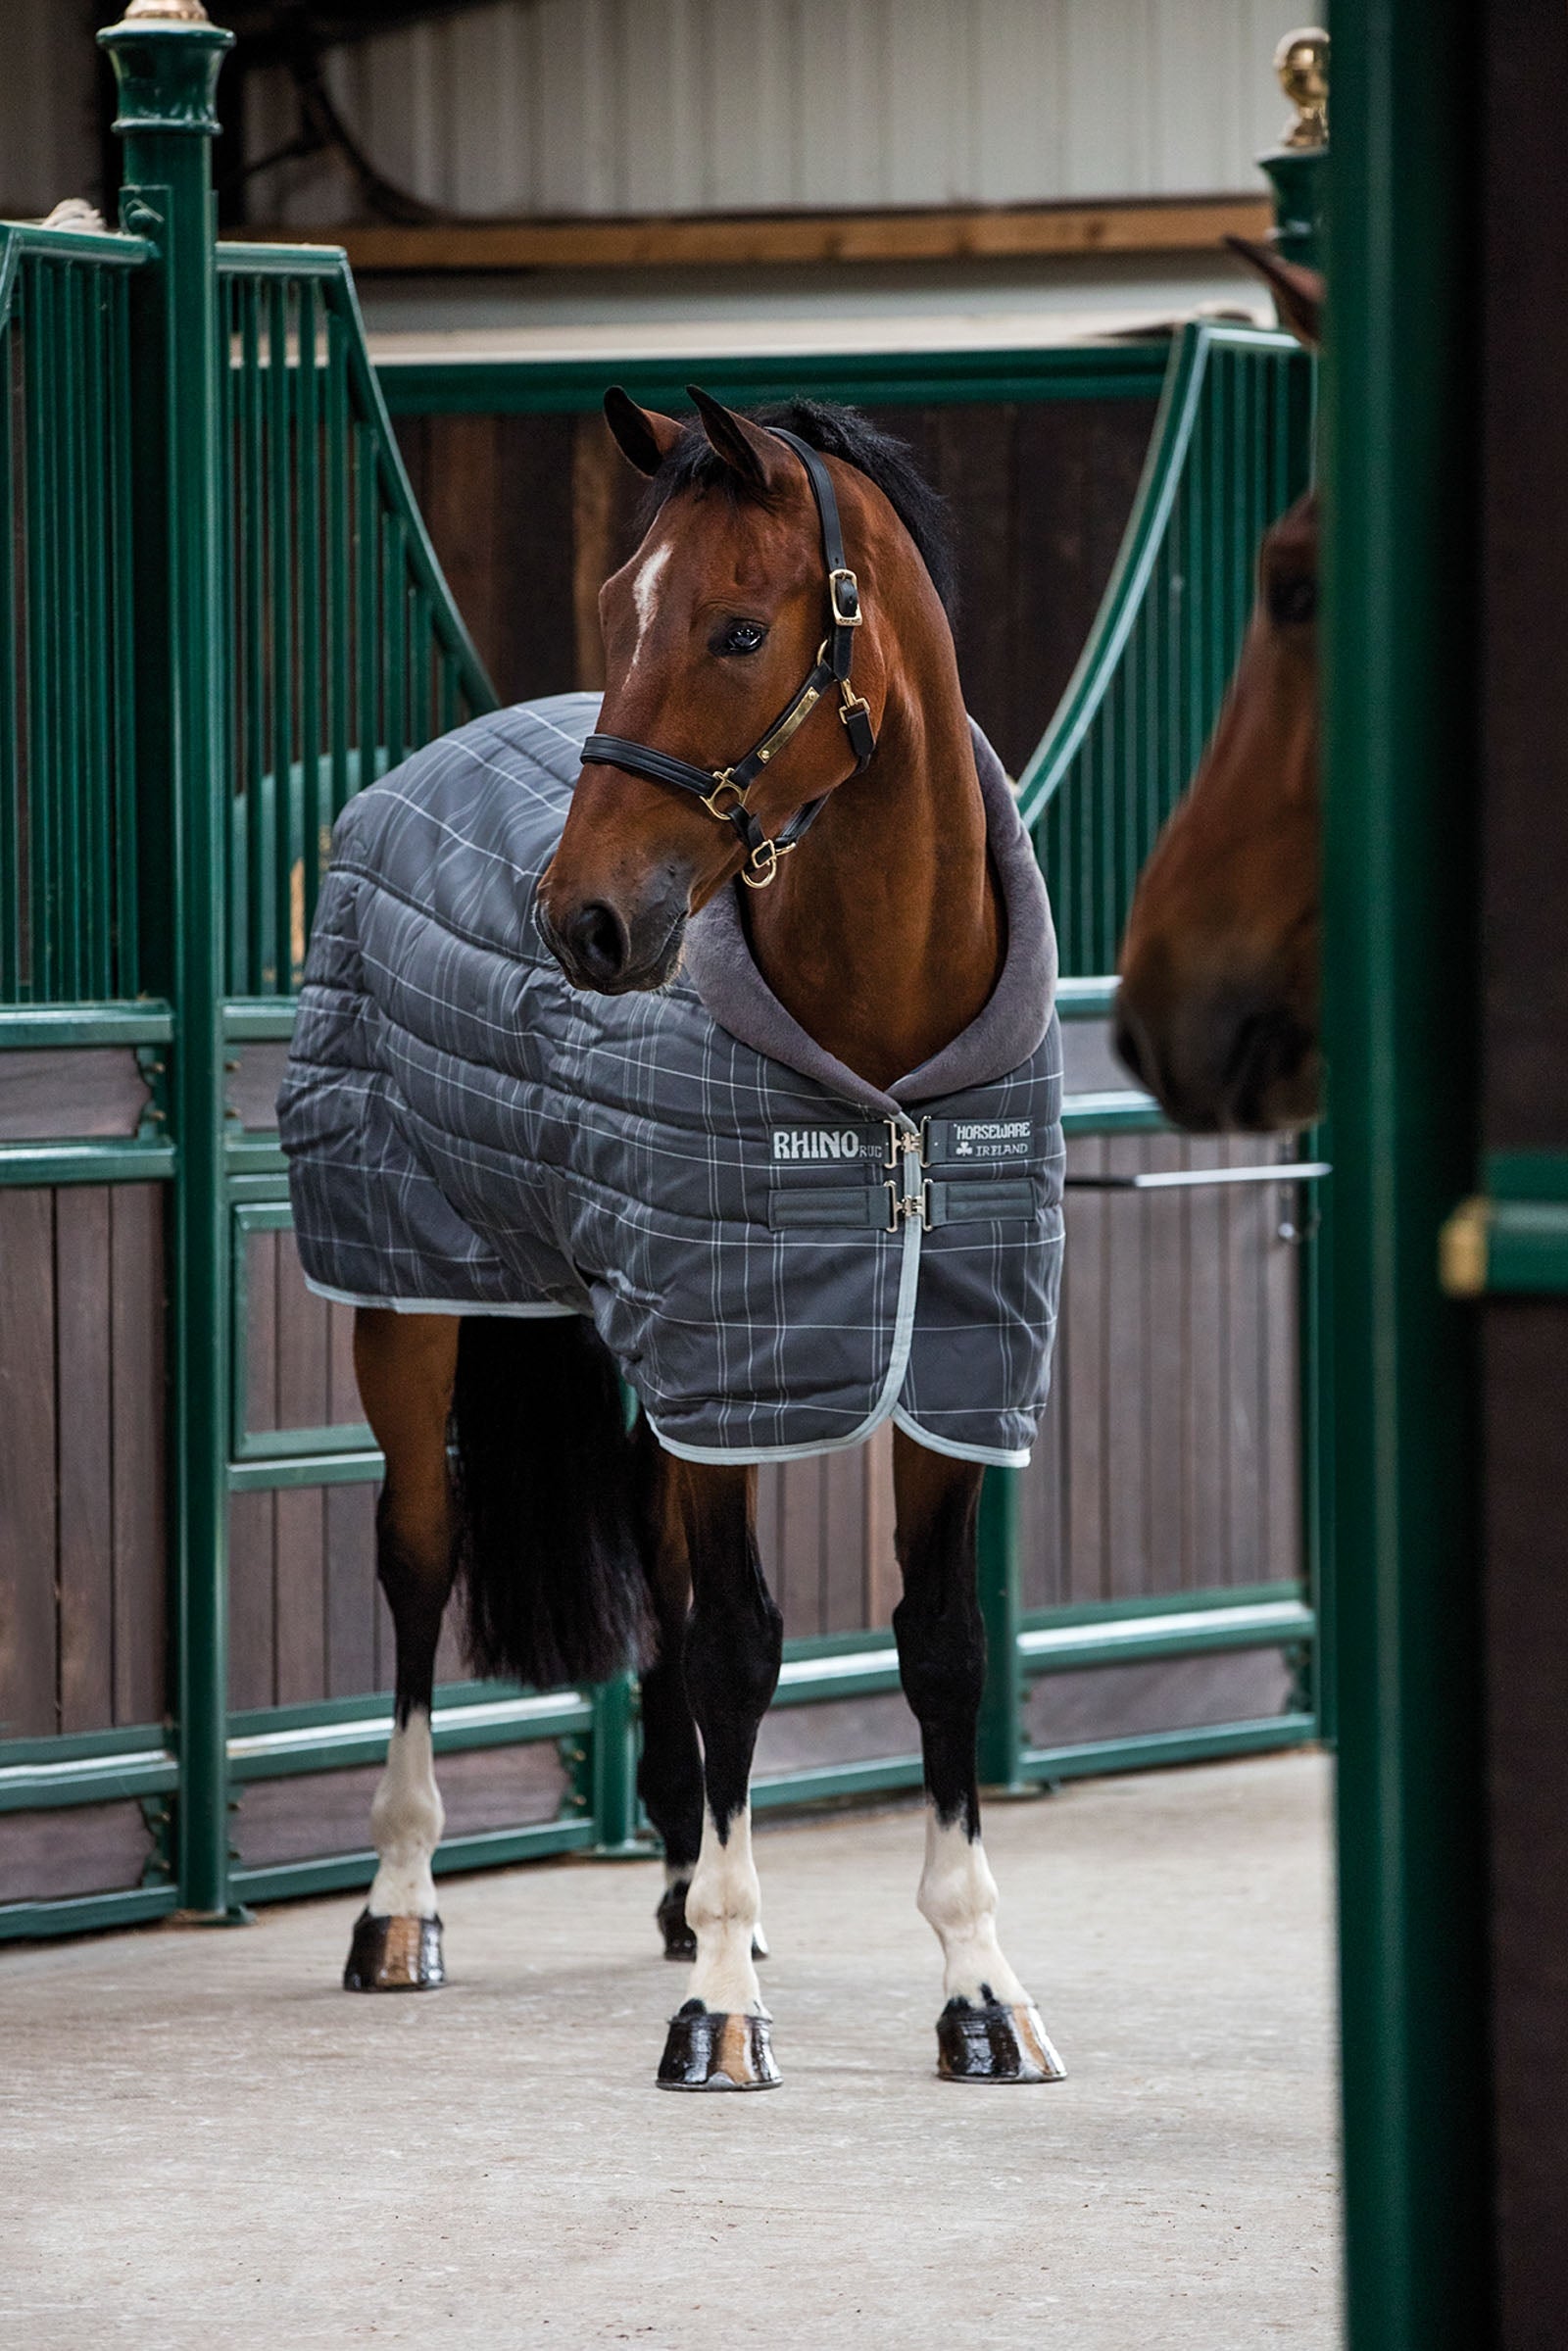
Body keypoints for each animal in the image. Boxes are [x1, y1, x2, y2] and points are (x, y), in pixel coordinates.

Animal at [278, 386, 1068, 2091]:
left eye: (739, 626)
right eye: (617, 607)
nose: (581, 922)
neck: (883, 1070)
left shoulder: (940, 1373)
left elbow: (940, 1648)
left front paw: (978, 1987)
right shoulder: (734, 1363)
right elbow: (739, 1645)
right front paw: (718, 2010)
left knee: (652, 1564)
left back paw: (679, 1875)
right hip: (411, 1306)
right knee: (419, 1561)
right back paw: (400, 1904)